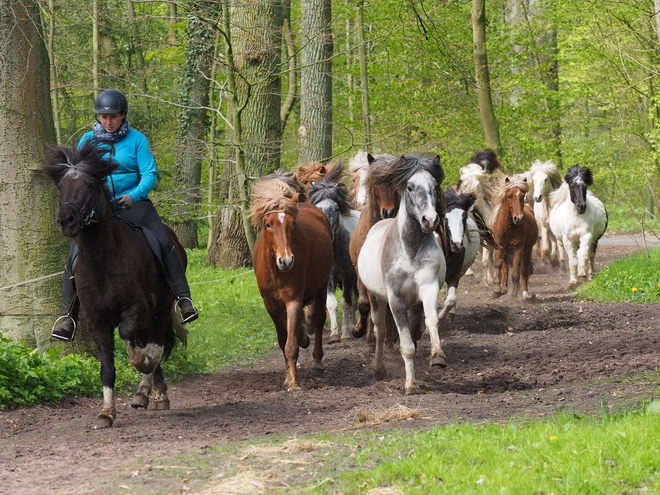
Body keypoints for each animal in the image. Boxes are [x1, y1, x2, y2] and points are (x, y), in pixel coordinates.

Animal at [41, 140, 187, 430]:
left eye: (90, 184)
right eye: (61, 186)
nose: (66, 221)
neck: (103, 261)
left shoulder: (136, 308)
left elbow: (131, 339)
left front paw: (142, 362)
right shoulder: (97, 320)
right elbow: (107, 367)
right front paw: (106, 412)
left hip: (162, 307)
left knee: (156, 341)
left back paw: (148, 386)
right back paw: (148, 394)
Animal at [249, 178, 332, 392]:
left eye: (292, 223)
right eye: (268, 224)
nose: (286, 261)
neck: (277, 272)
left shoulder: (293, 300)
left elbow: (291, 343)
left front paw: (293, 381)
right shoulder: (271, 305)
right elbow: (282, 339)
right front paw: (288, 376)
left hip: (322, 286)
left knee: (318, 319)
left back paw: (317, 360)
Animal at [308, 165, 358, 342]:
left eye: (336, 209)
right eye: (318, 209)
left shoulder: (349, 274)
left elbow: (346, 303)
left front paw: (345, 334)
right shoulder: (329, 276)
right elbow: (331, 303)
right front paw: (335, 333)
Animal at [358, 154, 446, 396]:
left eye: (435, 186)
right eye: (410, 187)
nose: (430, 220)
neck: (411, 250)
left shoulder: (429, 287)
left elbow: (432, 320)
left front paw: (438, 356)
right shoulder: (395, 300)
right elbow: (407, 347)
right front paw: (410, 385)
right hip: (376, 298)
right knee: (379, 330)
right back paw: (378, 369)